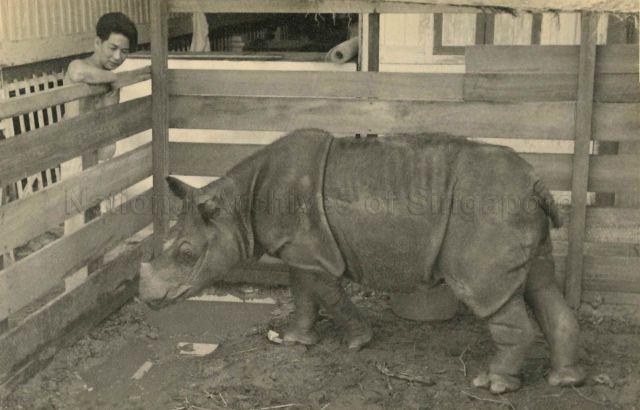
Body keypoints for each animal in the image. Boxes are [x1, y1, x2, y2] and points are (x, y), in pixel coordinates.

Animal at [138, 129, 585, 393]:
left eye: (187, 254)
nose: (146, 298)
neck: (237, 205)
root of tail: (536, 183)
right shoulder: (301, 250)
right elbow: (303, 295)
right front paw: (296, 341)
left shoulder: (314, 254)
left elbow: (329, 297)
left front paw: (358, 342)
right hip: (516, 209)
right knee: (541, 282)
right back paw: (564, 381)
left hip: (489, 211)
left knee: (487, 291)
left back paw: (491, 384)